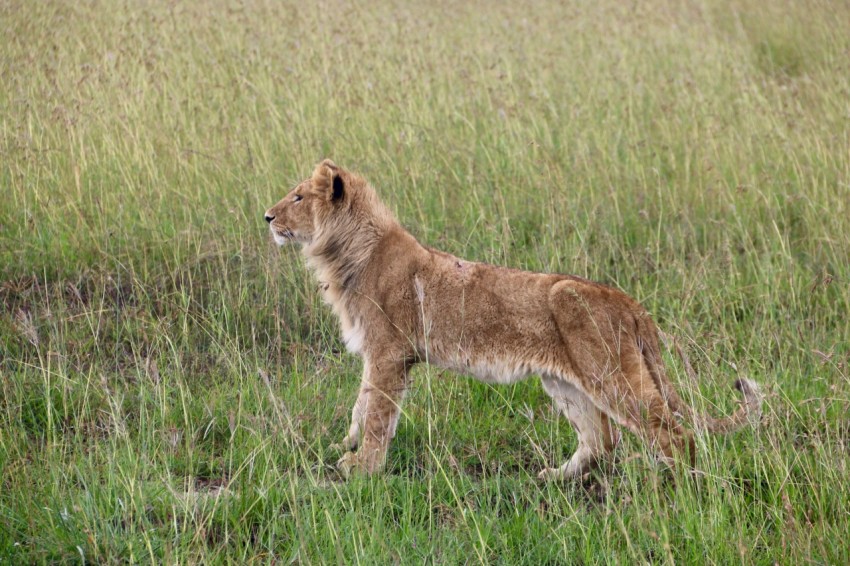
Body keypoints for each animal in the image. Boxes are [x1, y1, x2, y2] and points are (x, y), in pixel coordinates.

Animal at [262, 161, 760, 484]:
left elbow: (379, 414)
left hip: (610, 374)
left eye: (298, 197)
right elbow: (360, 406)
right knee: (602, 439)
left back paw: (678, 488)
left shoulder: (390, 353)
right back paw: (554, 477)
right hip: (565, 381)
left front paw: (362, 468)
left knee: (674, 436)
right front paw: (342, 447)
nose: (266, 217)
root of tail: (628, 301)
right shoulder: (376, 354)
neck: (344, 253)